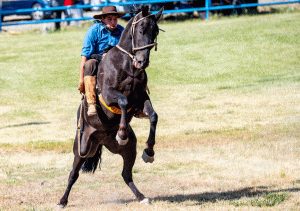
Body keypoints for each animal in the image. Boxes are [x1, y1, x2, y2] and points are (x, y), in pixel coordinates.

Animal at [56, 6, 164, 208]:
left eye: (155, 32)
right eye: (141, 30)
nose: (142, 61)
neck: (127, 66)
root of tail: (101, 140)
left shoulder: (141, 97)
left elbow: (153, 116)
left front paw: (149, 152)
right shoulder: (108, 94)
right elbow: (122, 102)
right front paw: (121, 133)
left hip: (128, 150)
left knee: (126, 174)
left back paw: (142, 197)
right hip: (81, 149)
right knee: (73, 174)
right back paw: (62, 201)